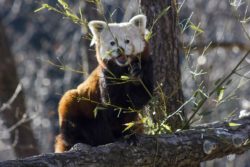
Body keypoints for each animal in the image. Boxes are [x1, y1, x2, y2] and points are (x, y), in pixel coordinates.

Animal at [54, 14, 152, 153]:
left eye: (127, 41)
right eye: (112, 43)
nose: (120, 49)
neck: (123, 70)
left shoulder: (147, 67)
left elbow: (141, 97)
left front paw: (136, 76)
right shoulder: (107, 78)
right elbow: (113, 106)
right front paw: (123, 134)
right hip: (77, 108)